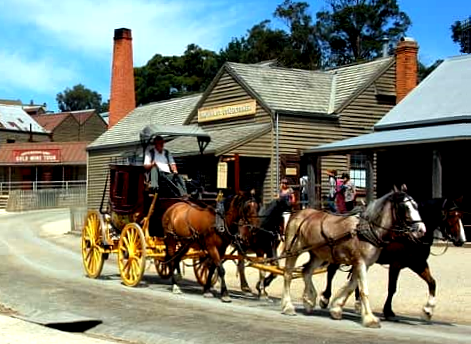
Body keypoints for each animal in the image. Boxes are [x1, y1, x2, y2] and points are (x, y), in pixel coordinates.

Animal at [280, 185, 428, 328]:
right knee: (288, 274)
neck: (366, 230)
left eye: (416, 205)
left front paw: (336, 308)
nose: (422, 230)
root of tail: (298, 213)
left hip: (319, 254)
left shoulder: (363, 264)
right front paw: (370, 319)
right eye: (405, 207)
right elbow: (363, 290)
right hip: (294, 250)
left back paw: (309, 300)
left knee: (306, 271)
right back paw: (288, 306)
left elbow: (351, 286)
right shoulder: (361, 262)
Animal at [318, 198, 466, 322]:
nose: (461, 240)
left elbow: (432, 283)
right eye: (451, 216)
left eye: (460, 215)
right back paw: (325, 298)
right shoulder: (396, 264)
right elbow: (392, 288)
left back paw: (358, 303)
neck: (408, 235)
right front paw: (388, 311)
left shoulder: (418, 263)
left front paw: (428, 310)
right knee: (331, 271)